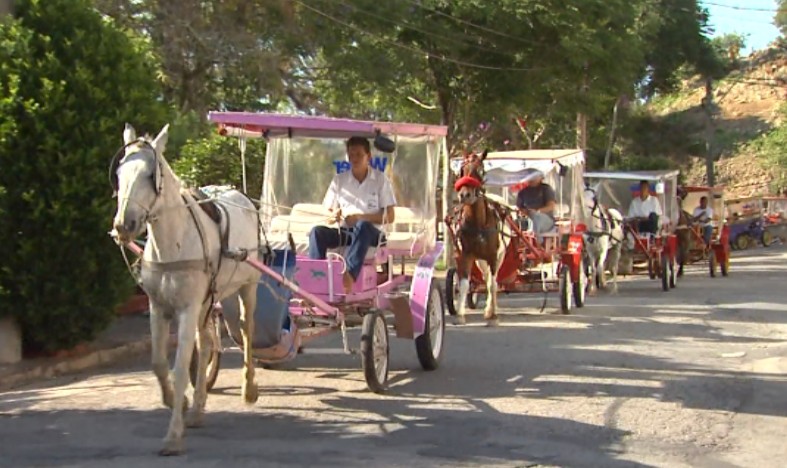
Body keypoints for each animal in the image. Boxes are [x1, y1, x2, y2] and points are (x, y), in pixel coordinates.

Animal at [111, 122, 262, 456]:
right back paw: (198, 408)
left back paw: (248, 388)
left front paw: (173, 436)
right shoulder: (159, 307)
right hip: (209, 300)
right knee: (206, 344)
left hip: (247, 286)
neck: (175, 240)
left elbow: (180, 367)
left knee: (247, 331)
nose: (123, 225)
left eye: (151, 175)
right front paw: (176, 402)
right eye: (120, 173)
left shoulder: (187, 308)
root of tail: (243, 196)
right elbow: (158, 362)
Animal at [452, 150, 508, 326]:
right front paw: (459, 315)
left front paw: (493, 316)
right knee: (487, 277)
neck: (478, 223)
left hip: (500, 256)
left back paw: (491, 310)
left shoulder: (493, 256)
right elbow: (463, 284)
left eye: (481, 170)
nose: (465, 195)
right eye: (461, 170)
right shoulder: (466, 255)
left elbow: (493, 285)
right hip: (480, 260)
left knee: (492, 281)